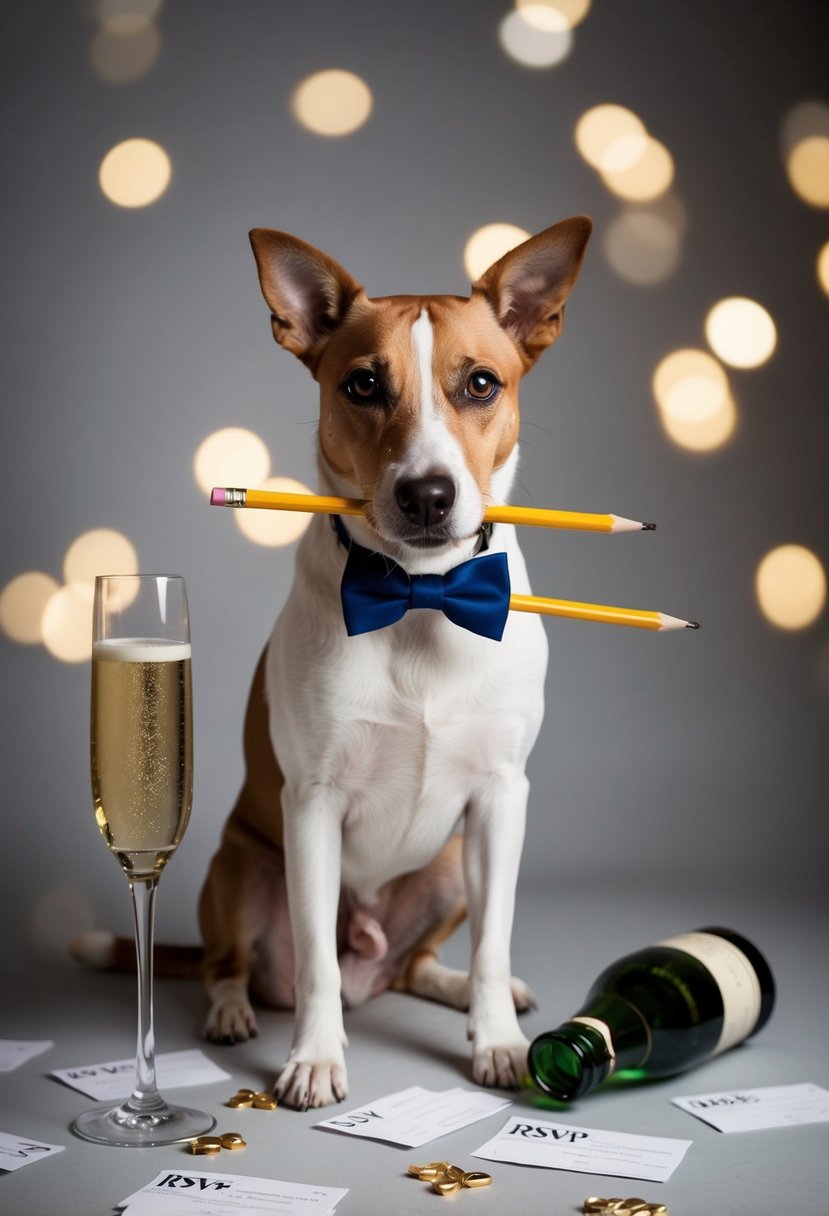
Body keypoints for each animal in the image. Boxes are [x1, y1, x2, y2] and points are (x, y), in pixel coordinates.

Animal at [198, 214, 590, 1108]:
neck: (419, 594)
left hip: (446, 868)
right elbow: (312, 959)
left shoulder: (500, 800)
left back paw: (464, 992)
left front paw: (501, 1041)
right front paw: (314, 1058)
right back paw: (231, 1009)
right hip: (238, 866)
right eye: (362, 386)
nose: (427, 495)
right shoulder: (310, 806)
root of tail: (367, 971)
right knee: (233, 962)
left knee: (420, 964)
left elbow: (494, 943)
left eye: (480, 384)